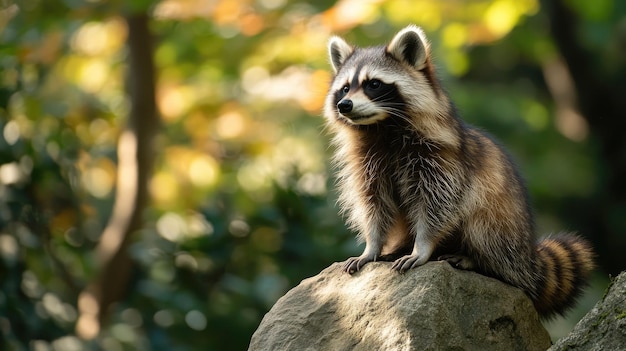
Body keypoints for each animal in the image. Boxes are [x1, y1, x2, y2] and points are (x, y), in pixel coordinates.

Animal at [324, 23, 592, 318]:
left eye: (373, 84)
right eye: (345, 88)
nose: (345, 105)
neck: (382, 127)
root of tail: (528, 258)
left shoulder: (441, 159)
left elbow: (438, 204)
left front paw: (422, 246)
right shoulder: (367, 163)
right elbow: (374, 204)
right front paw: (372, 246)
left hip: (504, 223)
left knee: (485, 229)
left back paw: (477, 259)